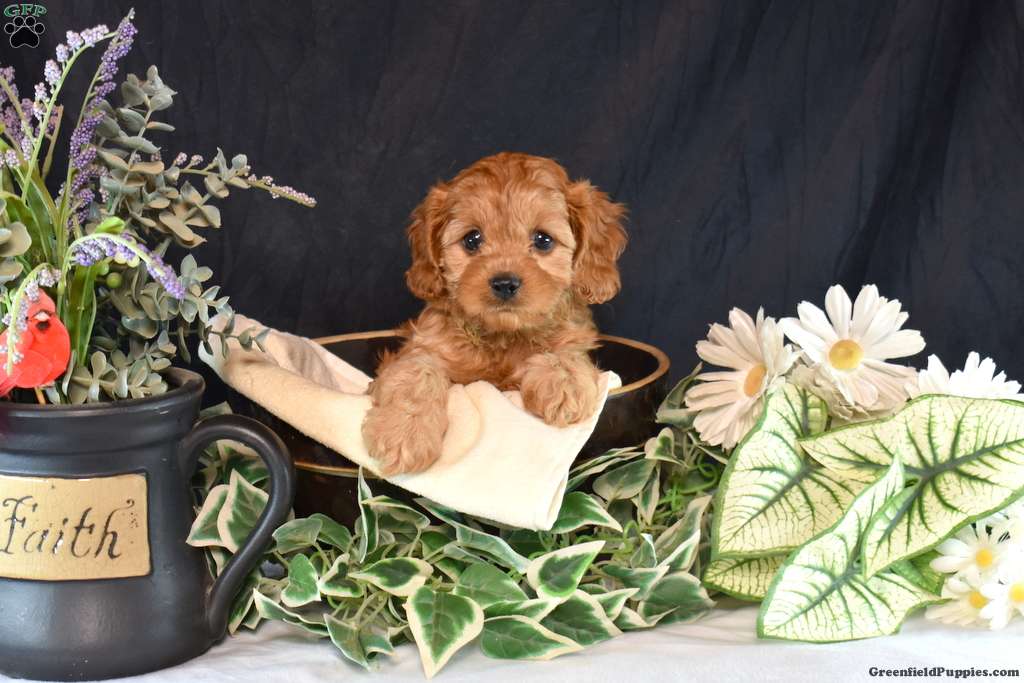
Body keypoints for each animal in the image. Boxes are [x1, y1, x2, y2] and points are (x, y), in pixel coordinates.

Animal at [362, 152, 627, 475]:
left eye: (543, 240)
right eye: (472, 239)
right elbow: (415, 372)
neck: (503, 336)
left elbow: (566, 353)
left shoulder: (572, 338)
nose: (504, 283)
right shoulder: (419, 349)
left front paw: (564, 385)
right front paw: (404, 433)